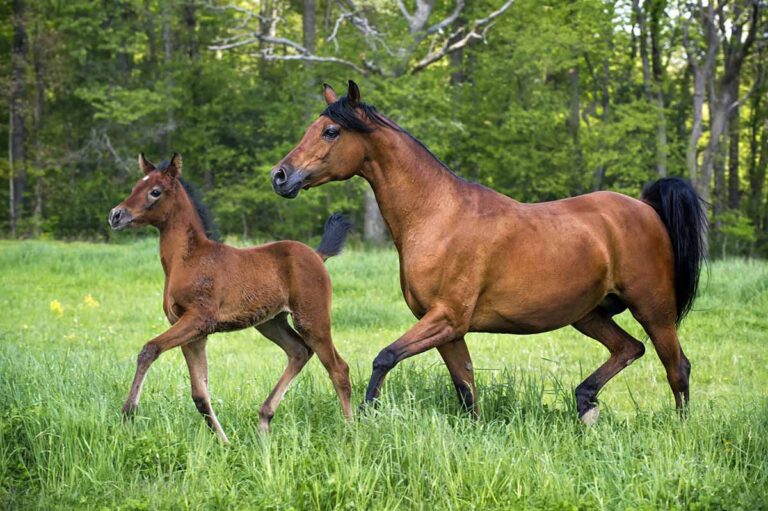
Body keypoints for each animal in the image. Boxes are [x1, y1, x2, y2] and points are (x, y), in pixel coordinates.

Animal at [109, 152, 353, 441]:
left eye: (155, 191)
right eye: (135, 186)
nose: (116, 215)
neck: (188, 259)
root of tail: (317, 255)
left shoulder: (199, 319)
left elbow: (150, 349)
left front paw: (128, 413)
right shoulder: (191, 331)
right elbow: (200, 394)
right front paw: (225, 443)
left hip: (311, 318)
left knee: (338, 368)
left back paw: (352, 432)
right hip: (270, 322)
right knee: (299, 351)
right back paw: (264, 422)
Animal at [269, 81, 707, 425]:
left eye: (330, 131)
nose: (280, 176)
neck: (437, 215)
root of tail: (646, 208)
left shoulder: (446, 318)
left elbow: (385, 357)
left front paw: (365, 414)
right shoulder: (449, 330)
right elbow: (466, 389)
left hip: (653, 309)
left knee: (677, 367)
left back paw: (678, 428)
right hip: (588, 314)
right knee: (630, 349)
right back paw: (585, 403)